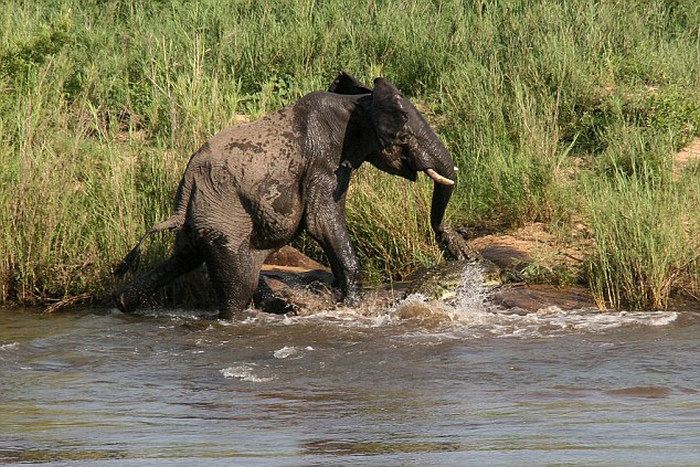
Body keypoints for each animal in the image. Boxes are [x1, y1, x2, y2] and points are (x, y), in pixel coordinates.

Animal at [112, 70, 456, 318]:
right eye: (404, 136)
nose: (446, 236)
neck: (356, 103)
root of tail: (187, 185)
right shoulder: (322, 161)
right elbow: (322, 222)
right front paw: (351, 307)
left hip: (204, 214)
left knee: (184, 258)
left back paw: (124, 303)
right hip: (225, 217)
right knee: (237, 286)